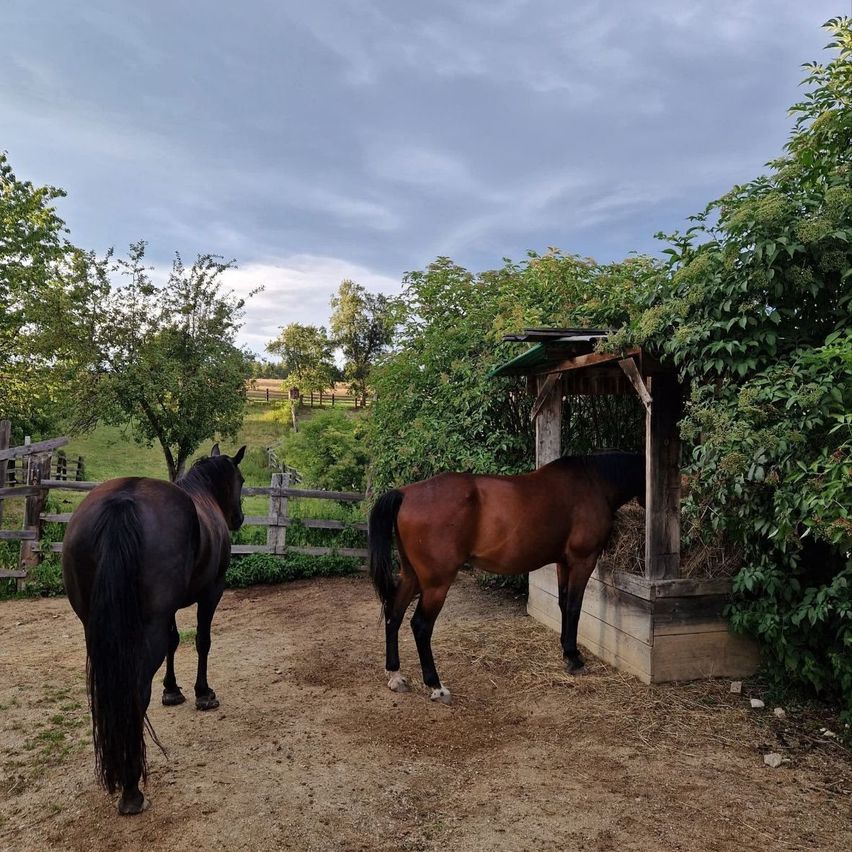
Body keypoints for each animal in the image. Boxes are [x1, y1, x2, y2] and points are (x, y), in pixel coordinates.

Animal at [62, 443, 245, 815]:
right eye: (242, 480)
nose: (239, 518)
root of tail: (122, 502)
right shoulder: (212, 592)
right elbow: (202, 641)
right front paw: (203, 693)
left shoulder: (169, 610)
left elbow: (175, 643)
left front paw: (172, 690)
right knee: (134, 692)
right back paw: (132, 788)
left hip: (98, 632)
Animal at [368, 451, 644, 704]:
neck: (592, 481)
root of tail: (405, 493)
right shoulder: (582, 560)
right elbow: (575, 607)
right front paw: (574, 658)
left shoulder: (563, 563)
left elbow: (563, 604)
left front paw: (567, 653)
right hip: (437, 584)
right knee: (421, 626)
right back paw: (436, 686)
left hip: (411, 575)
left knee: (393, 613)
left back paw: (395, 675)